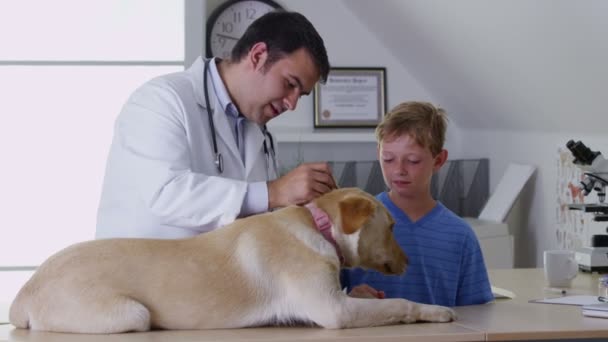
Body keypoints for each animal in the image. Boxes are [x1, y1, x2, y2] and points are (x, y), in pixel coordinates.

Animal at [10, 187, 456, 334]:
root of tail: (25, 292)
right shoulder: (335, 311)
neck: (320, 227)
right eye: (393, 227)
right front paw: (435, 310)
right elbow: (400, 303)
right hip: (132, 314)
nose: (408, 261)